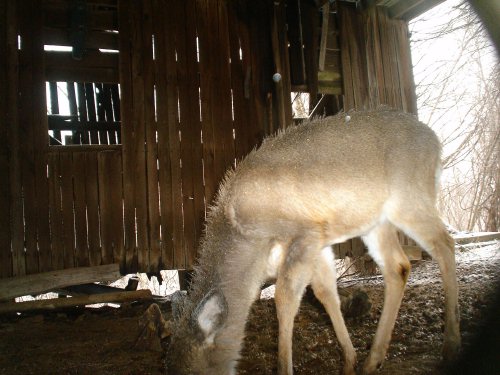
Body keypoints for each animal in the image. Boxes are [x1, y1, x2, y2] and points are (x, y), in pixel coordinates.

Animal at [160, 109, 460, 375]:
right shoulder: (318, 243)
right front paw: (348, 362)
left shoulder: (306, 233)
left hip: (409, 198)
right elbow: (325, 292)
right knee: (398, 266)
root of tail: (435, 142)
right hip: (376, 222)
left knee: (445, 245)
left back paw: (450, 347)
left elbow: (285, 299)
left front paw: (285, 368)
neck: (247, 238)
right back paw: (372, 360)